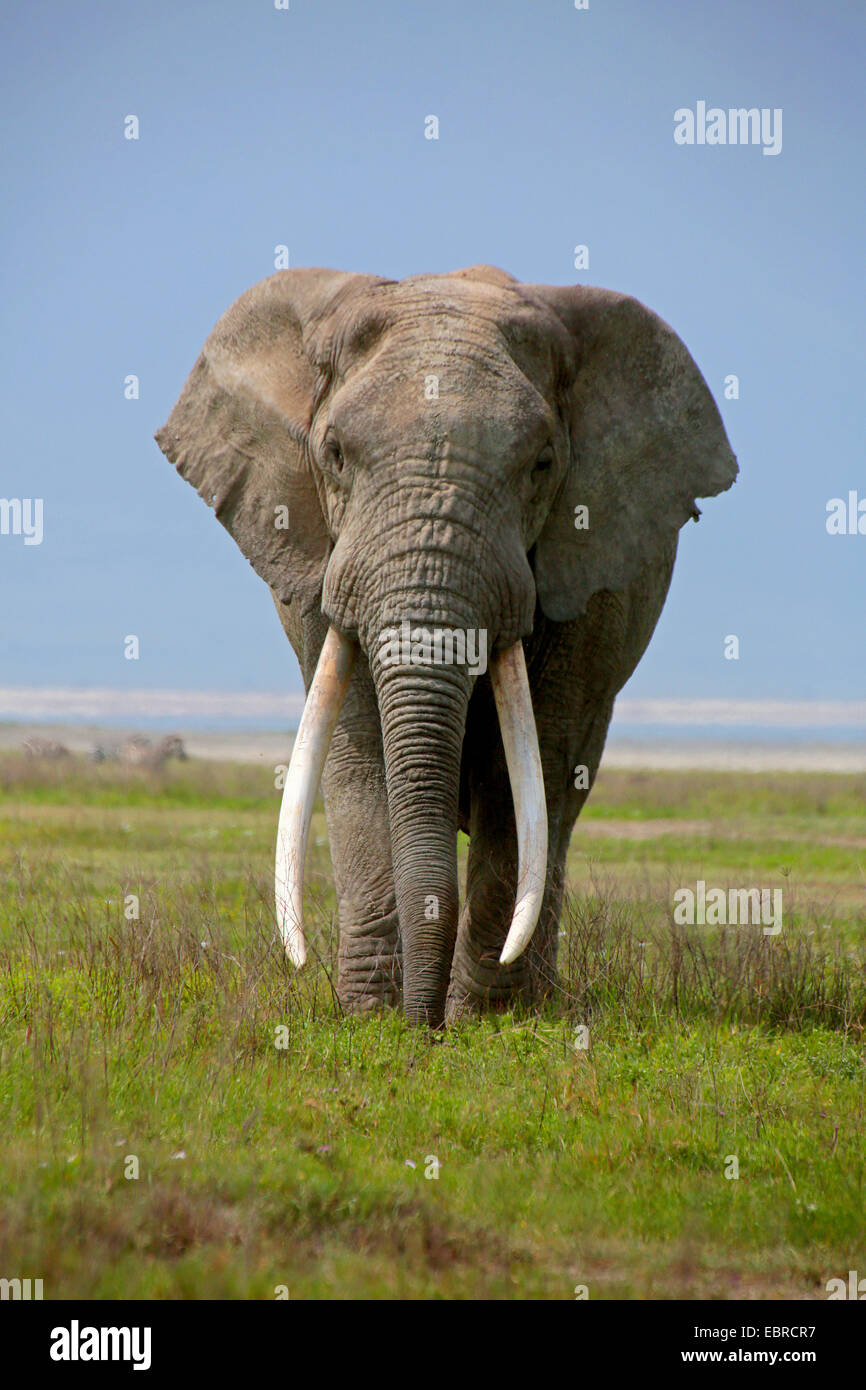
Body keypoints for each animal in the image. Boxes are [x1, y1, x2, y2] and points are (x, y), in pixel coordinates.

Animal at [156, 265, 737, 1027]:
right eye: (333, 454)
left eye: (542, 463)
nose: (423, 1024)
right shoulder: (318, 567)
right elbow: (355, 756)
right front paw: (373, 1018)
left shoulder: (584, 582)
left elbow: (531, 767)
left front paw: (482, 1019)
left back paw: (534, 996)